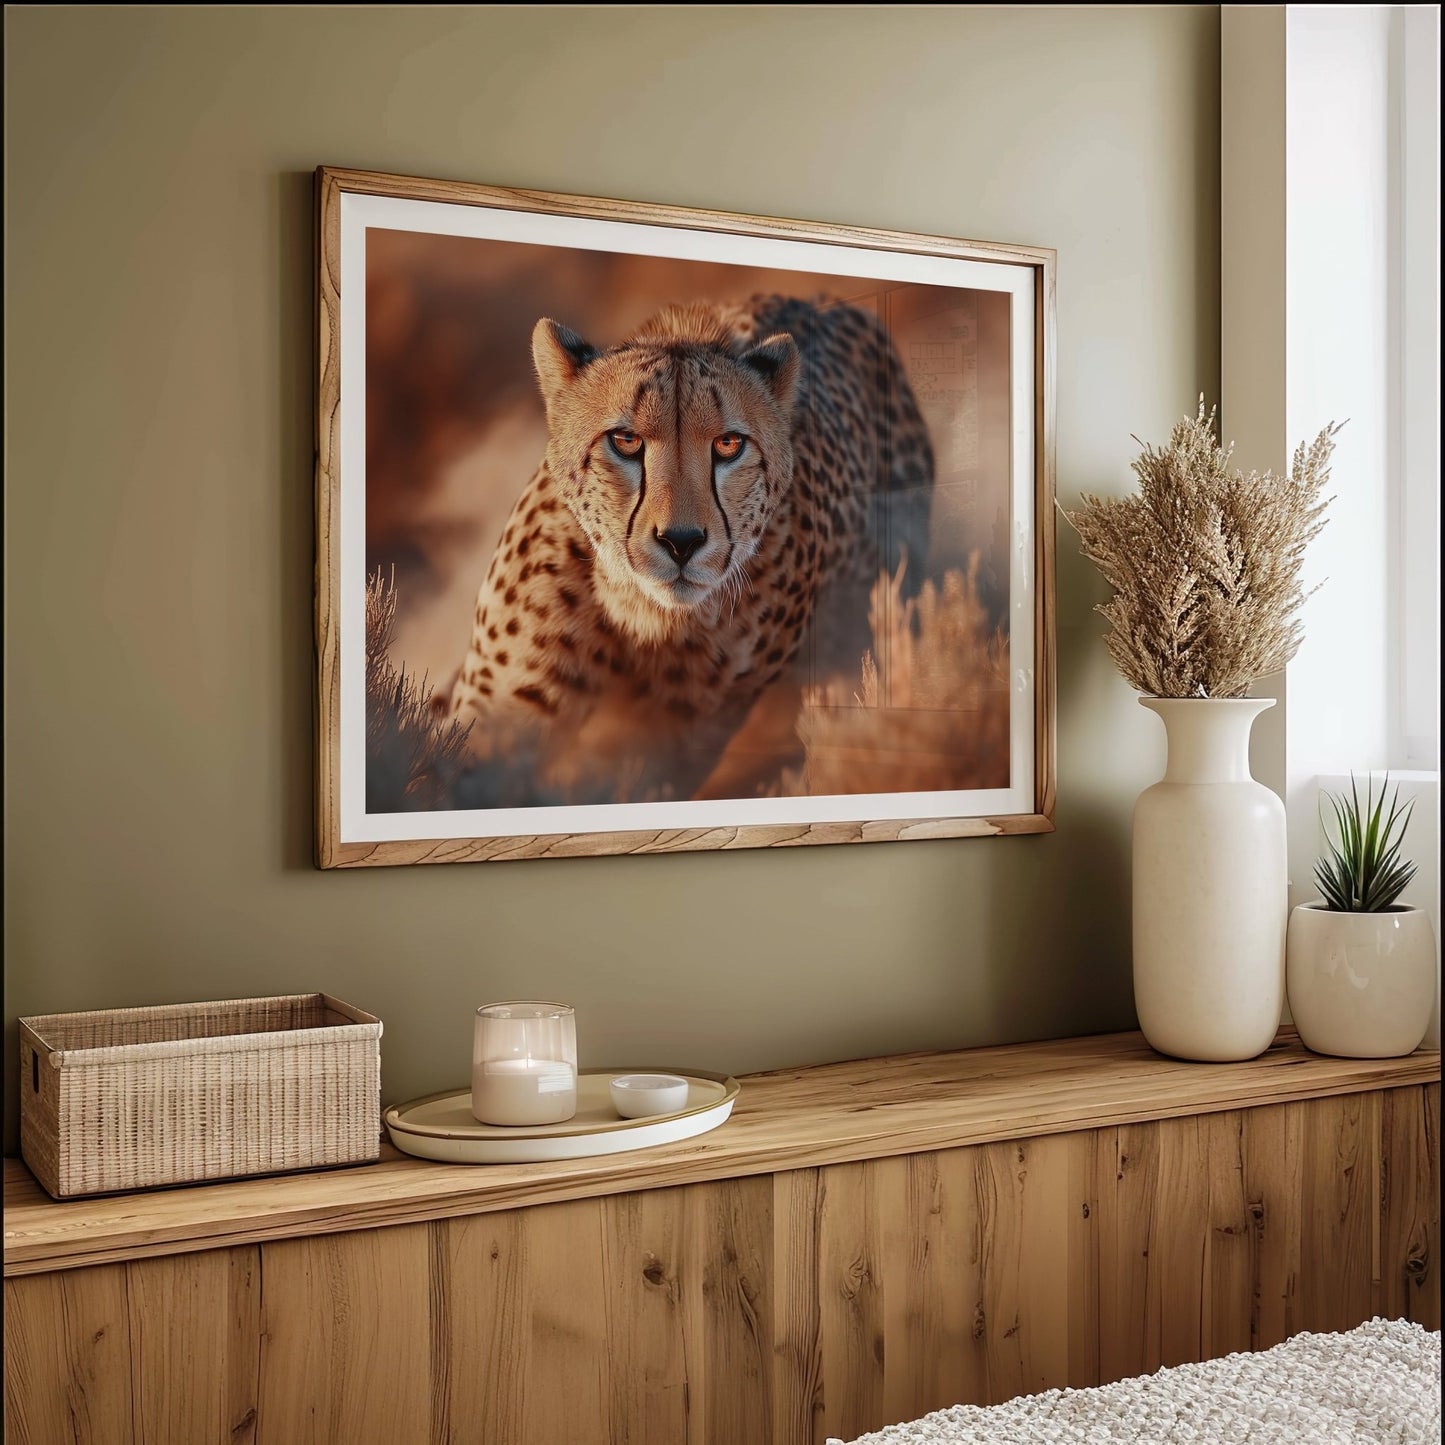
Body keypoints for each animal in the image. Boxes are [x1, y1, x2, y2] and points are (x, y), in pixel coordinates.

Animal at [447, 293, 934, 803]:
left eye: (729, 444)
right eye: (625, 440)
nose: (681, 542)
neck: (643, 615)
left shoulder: (677, 740)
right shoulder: (502, 715)